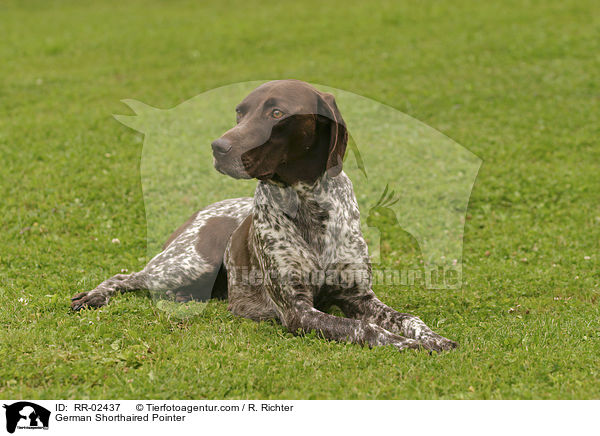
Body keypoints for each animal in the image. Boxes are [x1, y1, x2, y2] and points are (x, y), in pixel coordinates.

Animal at [71, 80, 454, 352]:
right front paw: (409, 345)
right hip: (188, 265)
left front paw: (431, 337)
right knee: (127, 275)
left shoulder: (359, 298)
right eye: (239, 113)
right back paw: (94, 296)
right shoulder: (298, 311)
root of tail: (200, 211)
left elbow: (408, 318)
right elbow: (367, 329)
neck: (307, 203)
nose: (218, 147)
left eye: (277, 114)